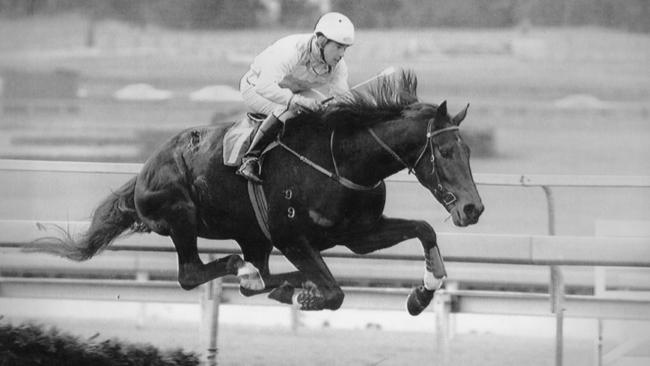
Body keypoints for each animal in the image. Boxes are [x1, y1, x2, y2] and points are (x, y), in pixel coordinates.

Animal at [35, 70, 480, 316]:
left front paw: (421, 294)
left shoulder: (358, 234)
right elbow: (335, 293)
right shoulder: (291, 236)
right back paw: (255, 273)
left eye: (468, 150)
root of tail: (144, 172)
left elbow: (424, 229)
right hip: (181, 214)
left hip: (253, 236)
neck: (341, 159)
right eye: (444, 151)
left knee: (259, 275)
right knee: (193, 273)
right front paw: (310, 297)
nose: (473, 208)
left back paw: (280, 281)